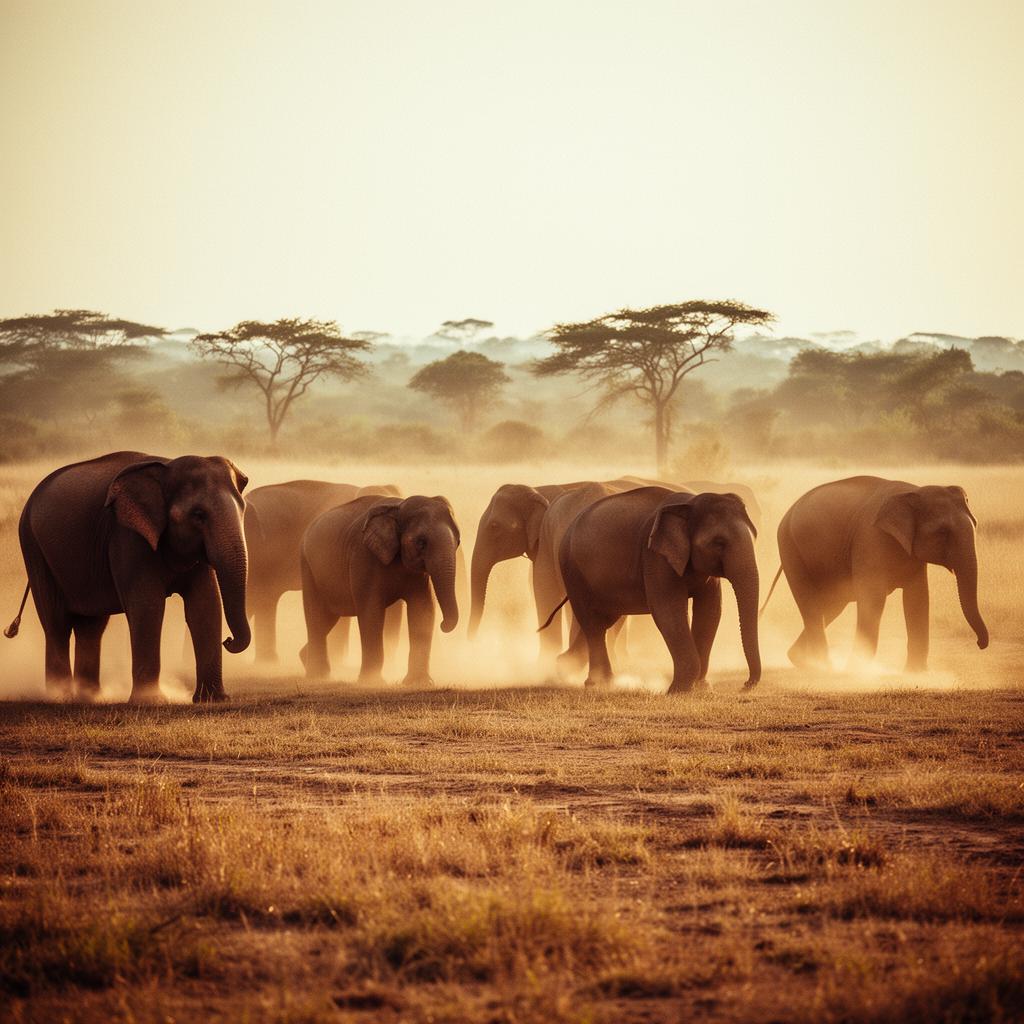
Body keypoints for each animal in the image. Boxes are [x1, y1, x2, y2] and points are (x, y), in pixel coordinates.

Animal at [5, 451, 250, 703]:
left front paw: (212, 700)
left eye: (243, 509)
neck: (166, 466)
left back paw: (90, 697)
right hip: (34, 548)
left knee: (91, 627)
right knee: (56, 623)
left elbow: (205, 605)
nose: (228, 641)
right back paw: (61, 697)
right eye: (198, 515)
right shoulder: (127, 537)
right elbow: (148, 605)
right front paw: (152, 702)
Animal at [300, 494, 461, 686]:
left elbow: (423, 610)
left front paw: (419, 683)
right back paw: (317, 676)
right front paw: (372, 682)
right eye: (421, 543)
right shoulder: (364, 557)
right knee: (316, 617)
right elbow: (371, 610)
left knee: (327, 618)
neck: (399, 506)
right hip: (307, 567)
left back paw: (305, 660)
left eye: (458, 541)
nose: (443, 625)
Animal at [549, 487, 761, 694]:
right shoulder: (654, 556)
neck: (688, 503)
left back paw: (565, 667)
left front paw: (701, 687)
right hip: (572, 570)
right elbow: (668, 610)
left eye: (754, 537)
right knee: (592, 623)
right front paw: (679, 690)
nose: (745, 685)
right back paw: (598, 683)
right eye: (718, 542)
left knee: (603, 620)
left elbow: (710, 611)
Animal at [766, 476, 988, 671]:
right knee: (810, 603)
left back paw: (800, 660)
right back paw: (824, 667)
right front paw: (857, 671)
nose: (980, 643)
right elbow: (873, 598)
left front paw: (916, 674)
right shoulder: (871, 539)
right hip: (789, 546)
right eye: (943, 532)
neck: (914, 491)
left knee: (831, 606)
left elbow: (917, 598)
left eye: (976, 524)